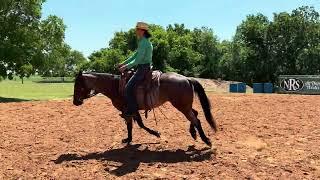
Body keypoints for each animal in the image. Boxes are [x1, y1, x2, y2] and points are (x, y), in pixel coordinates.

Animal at [73, 70, 218, 146]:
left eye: (77, 85)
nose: (75, 102)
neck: (115, 86)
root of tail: (187, 79)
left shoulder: (127, 110)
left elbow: (137, 125)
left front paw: (155, 133)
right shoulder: (131, 111)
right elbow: (135, 125)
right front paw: (129, 139)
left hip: (182, 106)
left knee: (195, 119)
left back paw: (206, 140)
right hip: (185, 106)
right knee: (196, 114)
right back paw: (194, 133)